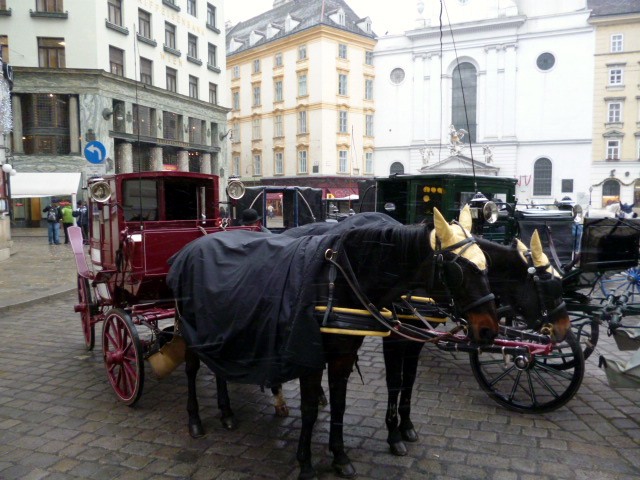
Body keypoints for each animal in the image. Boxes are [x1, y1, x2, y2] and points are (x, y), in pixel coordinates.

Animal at [166, 209, 500, 480]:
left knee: (220, 365)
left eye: (487, 265)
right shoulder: (313, 355)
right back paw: (196, 420)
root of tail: (191, 247)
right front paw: (307, 463)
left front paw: (341, 455)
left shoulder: (346, 353)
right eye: (461, 269)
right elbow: (314, 408)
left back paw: (228, 412)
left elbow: (351, 400)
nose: (488, 330)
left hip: (221, 327)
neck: (341, 281)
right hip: (189, 328)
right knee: (193, 369)